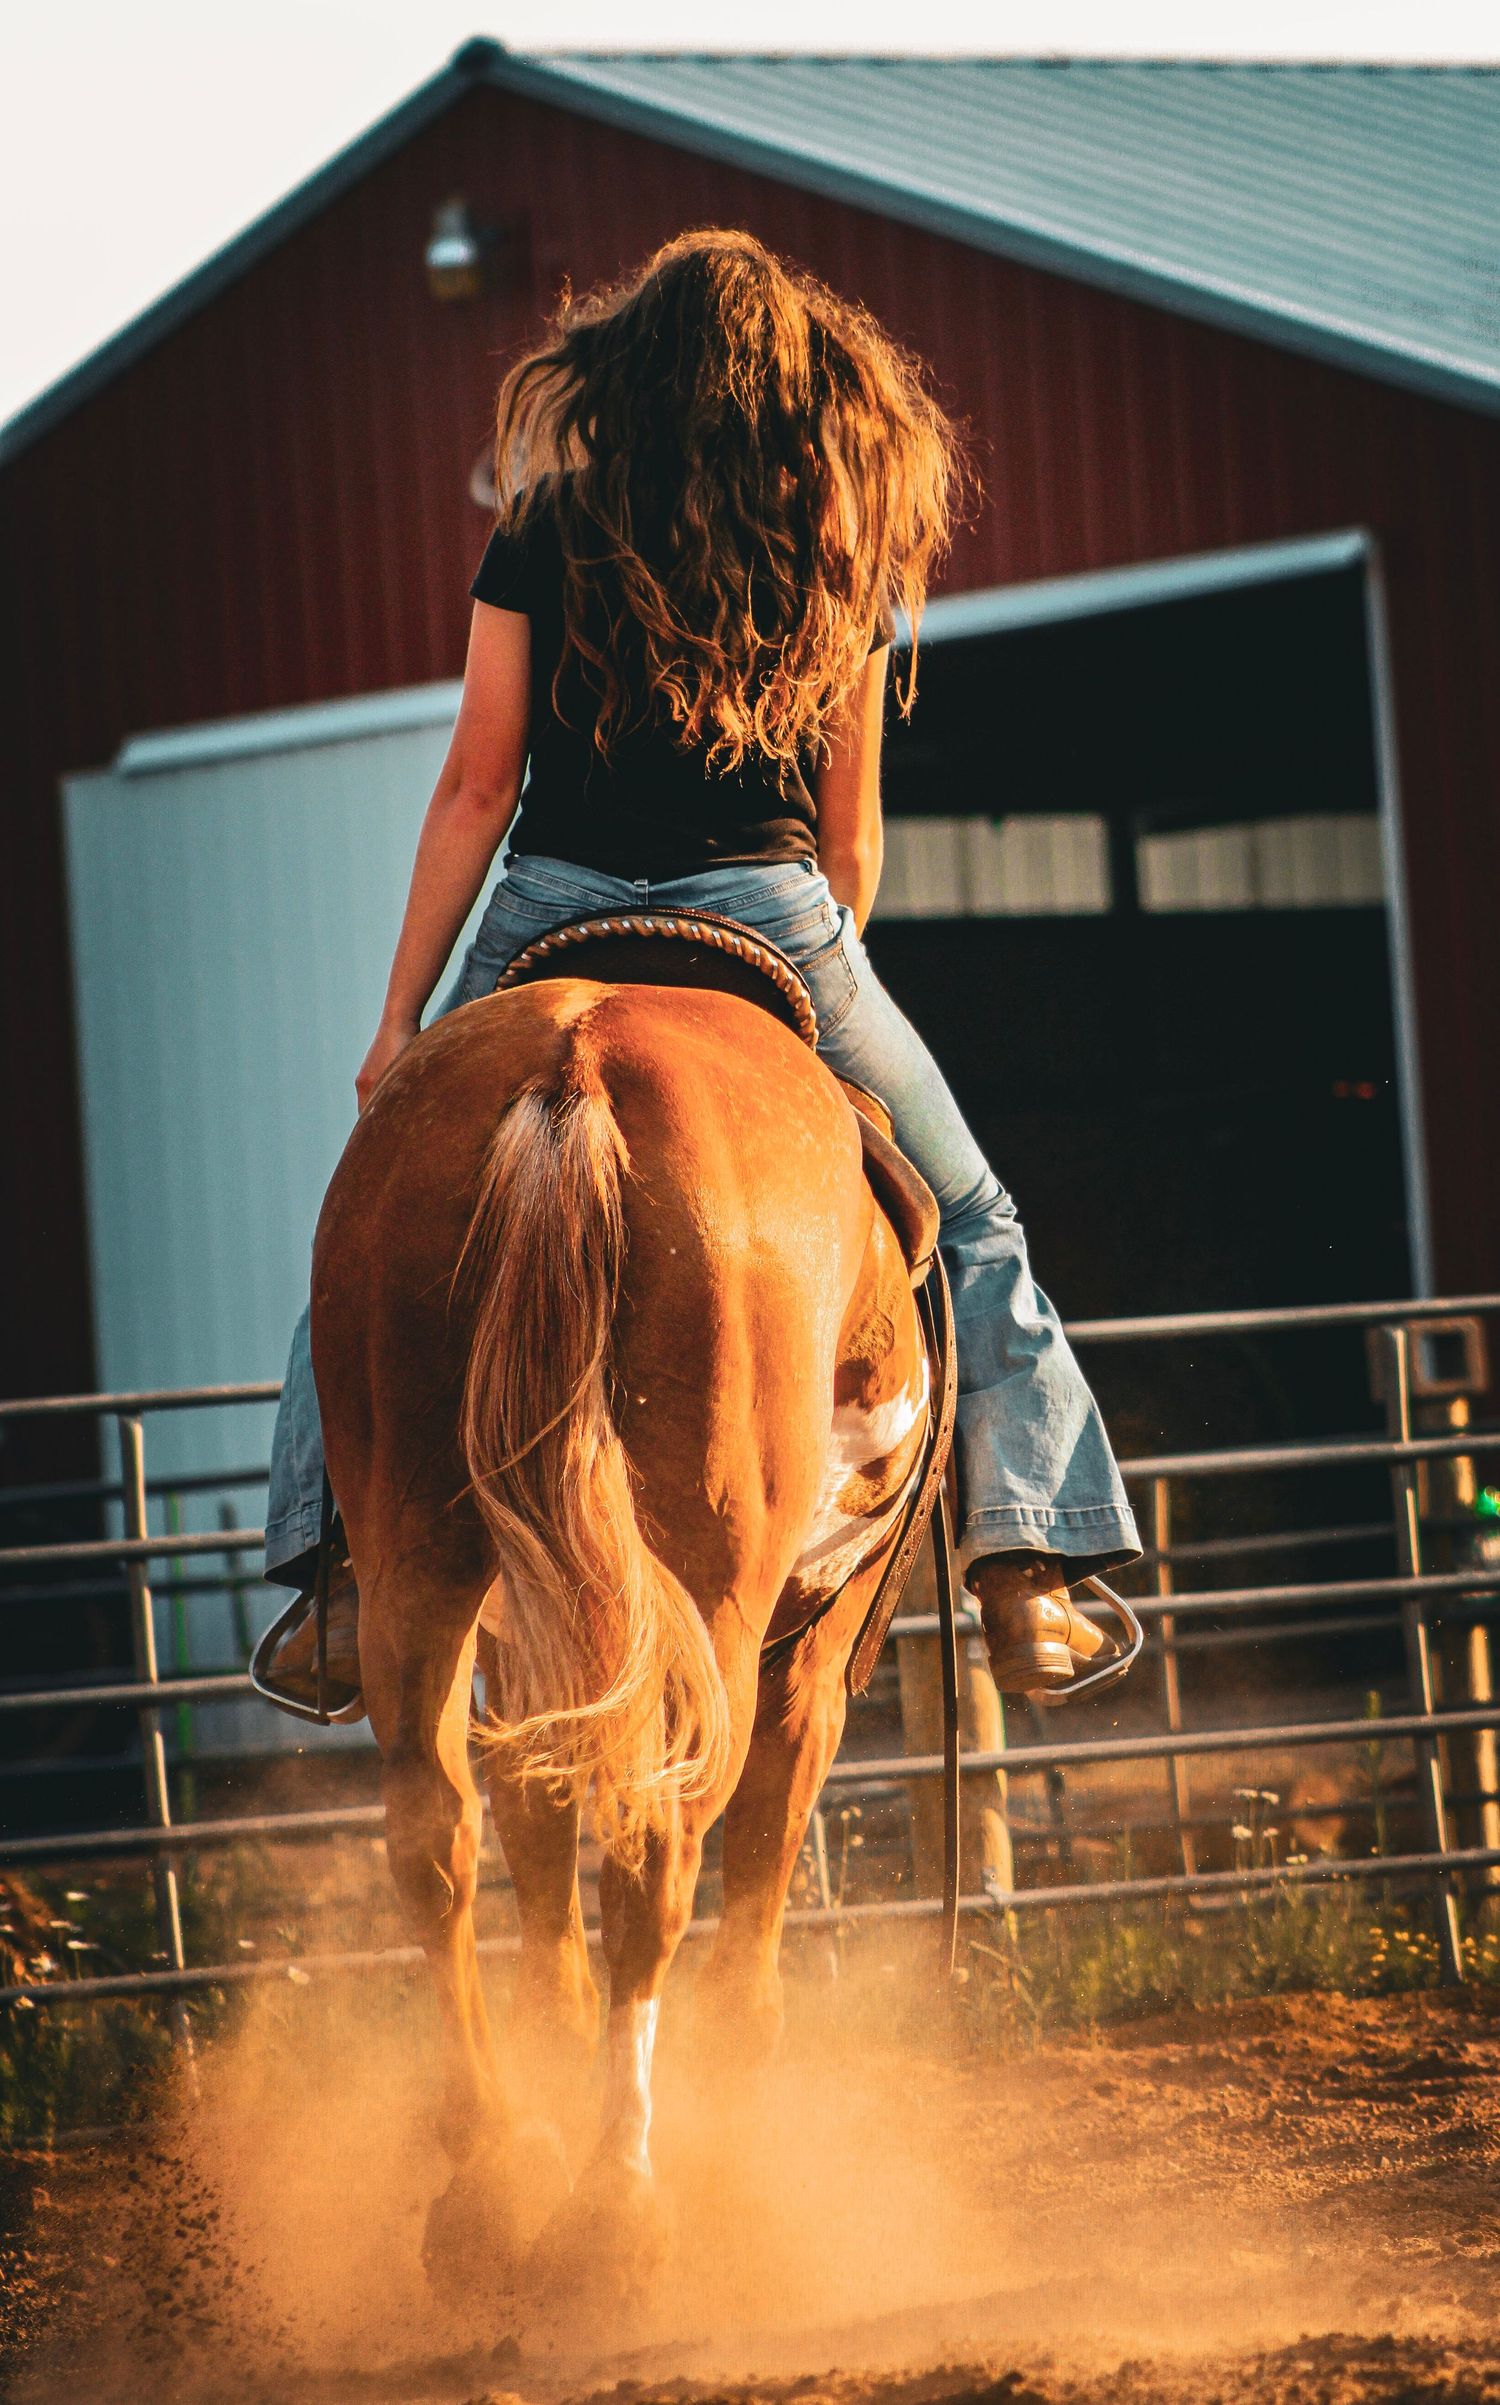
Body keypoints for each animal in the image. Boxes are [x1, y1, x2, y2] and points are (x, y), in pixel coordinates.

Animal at [310, 953, 935, 2273]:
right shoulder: (813, 1653)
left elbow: (537, 1860)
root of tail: (576, 1067)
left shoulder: (530, 1655)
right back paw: (618, 2202)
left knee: (432, 1833)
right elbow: (749, 1904)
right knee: (656, 1849)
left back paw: (492, 2172)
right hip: (712, 1609)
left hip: (416, 1561)